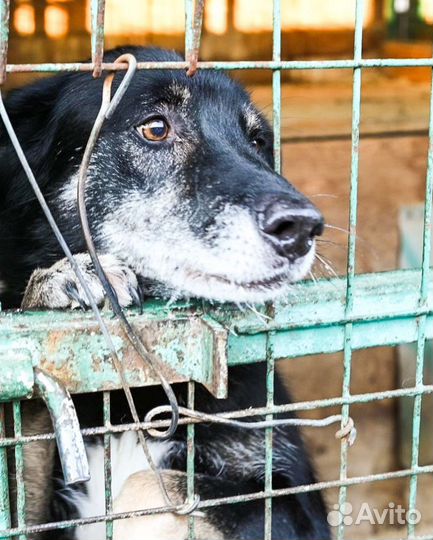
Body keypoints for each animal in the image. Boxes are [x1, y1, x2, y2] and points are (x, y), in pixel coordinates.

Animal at [0, 47, 330, 540]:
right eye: (155, 128)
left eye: (257, 141)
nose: (304, 227)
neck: (137, 399)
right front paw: (60, 281)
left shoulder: (294, 507)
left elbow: (149, 486)